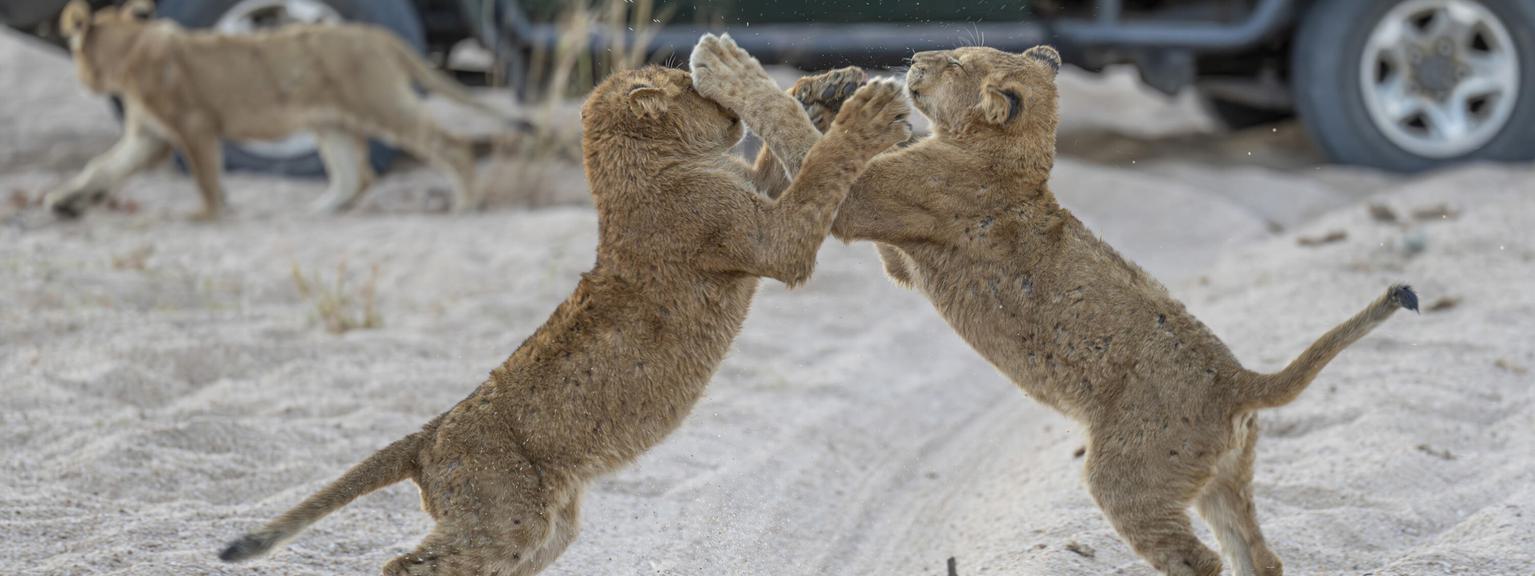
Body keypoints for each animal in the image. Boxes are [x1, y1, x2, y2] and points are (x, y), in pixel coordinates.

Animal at [46, 0, 522, 219]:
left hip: (379, 101)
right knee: (353, 176)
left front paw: (208, 214)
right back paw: (316, 211)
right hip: (329, 121)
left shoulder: (192, 123)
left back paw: (465, 204)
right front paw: (63, 201)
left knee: (450, 144)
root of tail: (378, 35)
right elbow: (101, 167)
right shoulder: (148, 135)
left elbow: (205, 176)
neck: (129, 48)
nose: (82, 79)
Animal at [216, 60, 911, 574]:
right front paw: (864, 117)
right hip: (506, 519)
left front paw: (817, 91)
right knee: (405, 565)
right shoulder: (769, 241)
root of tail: (429, 435)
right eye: (692, 89)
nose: (722, 102)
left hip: (544, 531)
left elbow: (780, 163)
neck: (641, 163)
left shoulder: (756, 199)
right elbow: (820, 170)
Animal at [691, 35, 1419, 576]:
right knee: (1258, 557)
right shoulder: (899, 253)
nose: (918, 58)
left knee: (1199, 560)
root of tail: (1240, 380)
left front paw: (731, 69)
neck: (1011, 156)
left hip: (1127, 478)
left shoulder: (871, 200)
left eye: (958, 62)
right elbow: (830, 143)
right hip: (1225, 482)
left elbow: (805, 139)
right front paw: (831, 89)